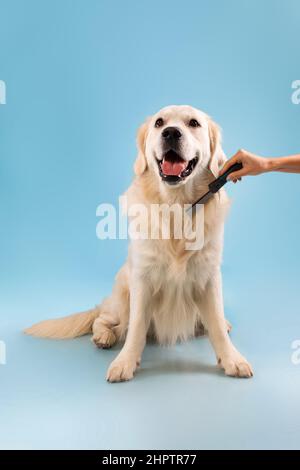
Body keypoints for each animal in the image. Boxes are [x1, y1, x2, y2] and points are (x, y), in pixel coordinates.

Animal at [25, 103, 253, 382]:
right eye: (159, 123)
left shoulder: (209, 275)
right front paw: (125, 362)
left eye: (193, 123)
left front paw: (232, 359)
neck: (176, 207)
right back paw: (103, 336)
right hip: (122, 295)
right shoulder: (142, 277)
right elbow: (135, 328)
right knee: (103, 319)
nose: (171, 133)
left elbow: (217, 326)